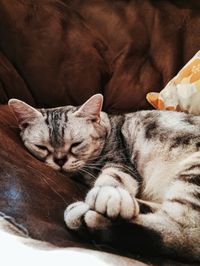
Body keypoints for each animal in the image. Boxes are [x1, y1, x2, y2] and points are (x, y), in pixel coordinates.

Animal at [8, 94, 200, 260]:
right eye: (42, 147)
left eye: (76, 144)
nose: (60, 160)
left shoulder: (121, 163)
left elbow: (111, 178)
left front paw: (106, 195)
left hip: (193, 173)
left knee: (182, 233)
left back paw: (89, 219)